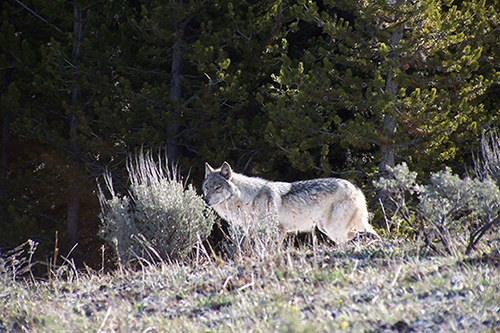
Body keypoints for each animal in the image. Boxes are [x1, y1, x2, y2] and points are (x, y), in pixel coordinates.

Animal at [201, 161, 376, 244]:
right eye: (207, 187)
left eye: (218, 187)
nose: (206, 200)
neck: (248, 199)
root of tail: (356, 189)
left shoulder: (276, 231)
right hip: (329, 229)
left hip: (335, 229)